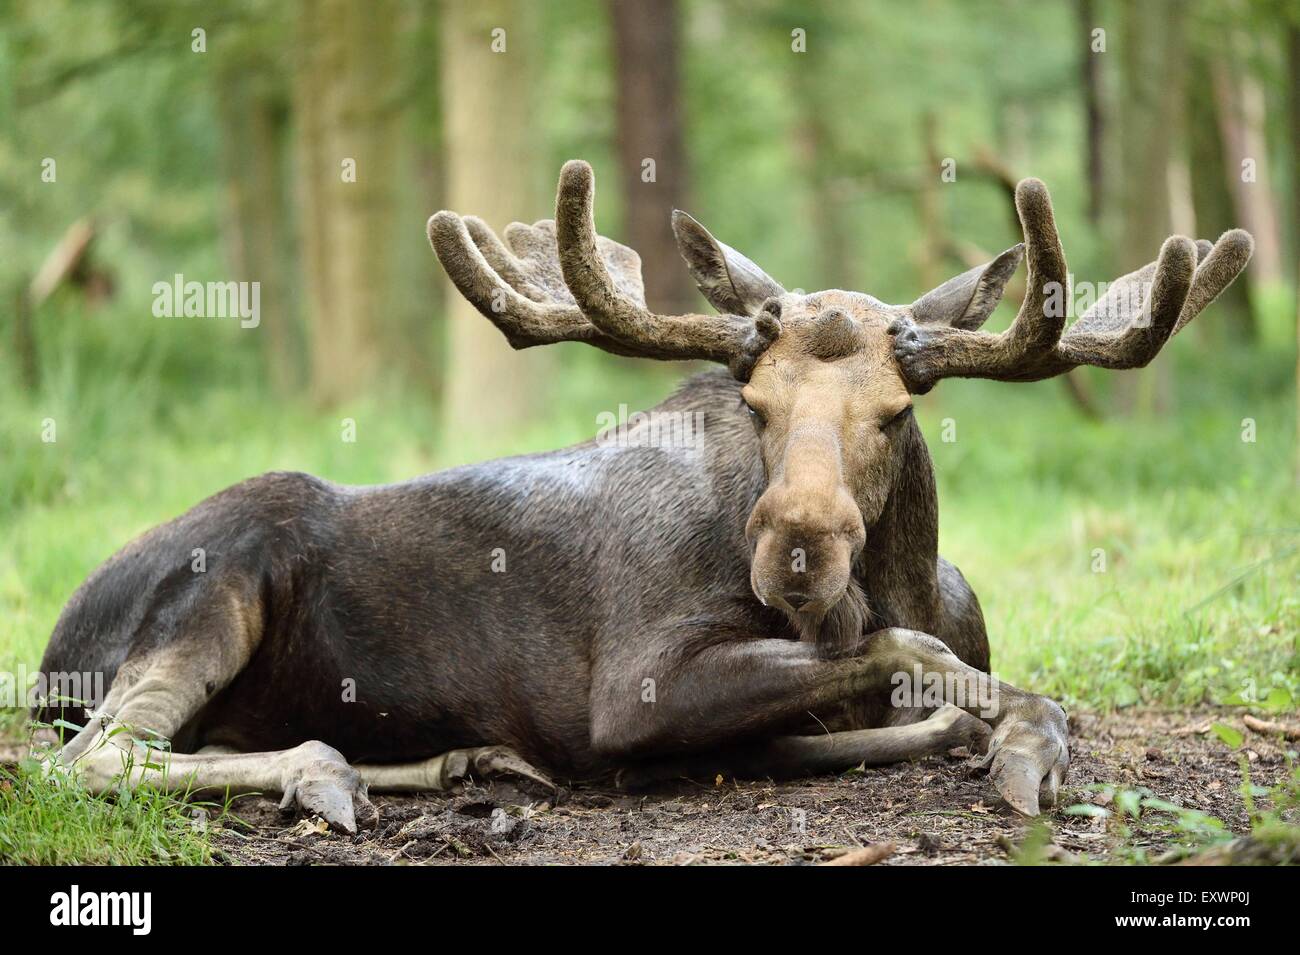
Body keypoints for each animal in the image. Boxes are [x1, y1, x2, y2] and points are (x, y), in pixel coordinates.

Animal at [35, 160, 1253, 831]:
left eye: (896, 412)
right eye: (753, 401)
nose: (798, 548)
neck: (900, 579)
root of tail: (50, 653)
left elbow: (978, 692)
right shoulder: (631, 688)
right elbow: (925, 665)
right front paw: (1006, 743)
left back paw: (455, 758)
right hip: (215, 580)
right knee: (89, 754)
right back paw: (326, 773)